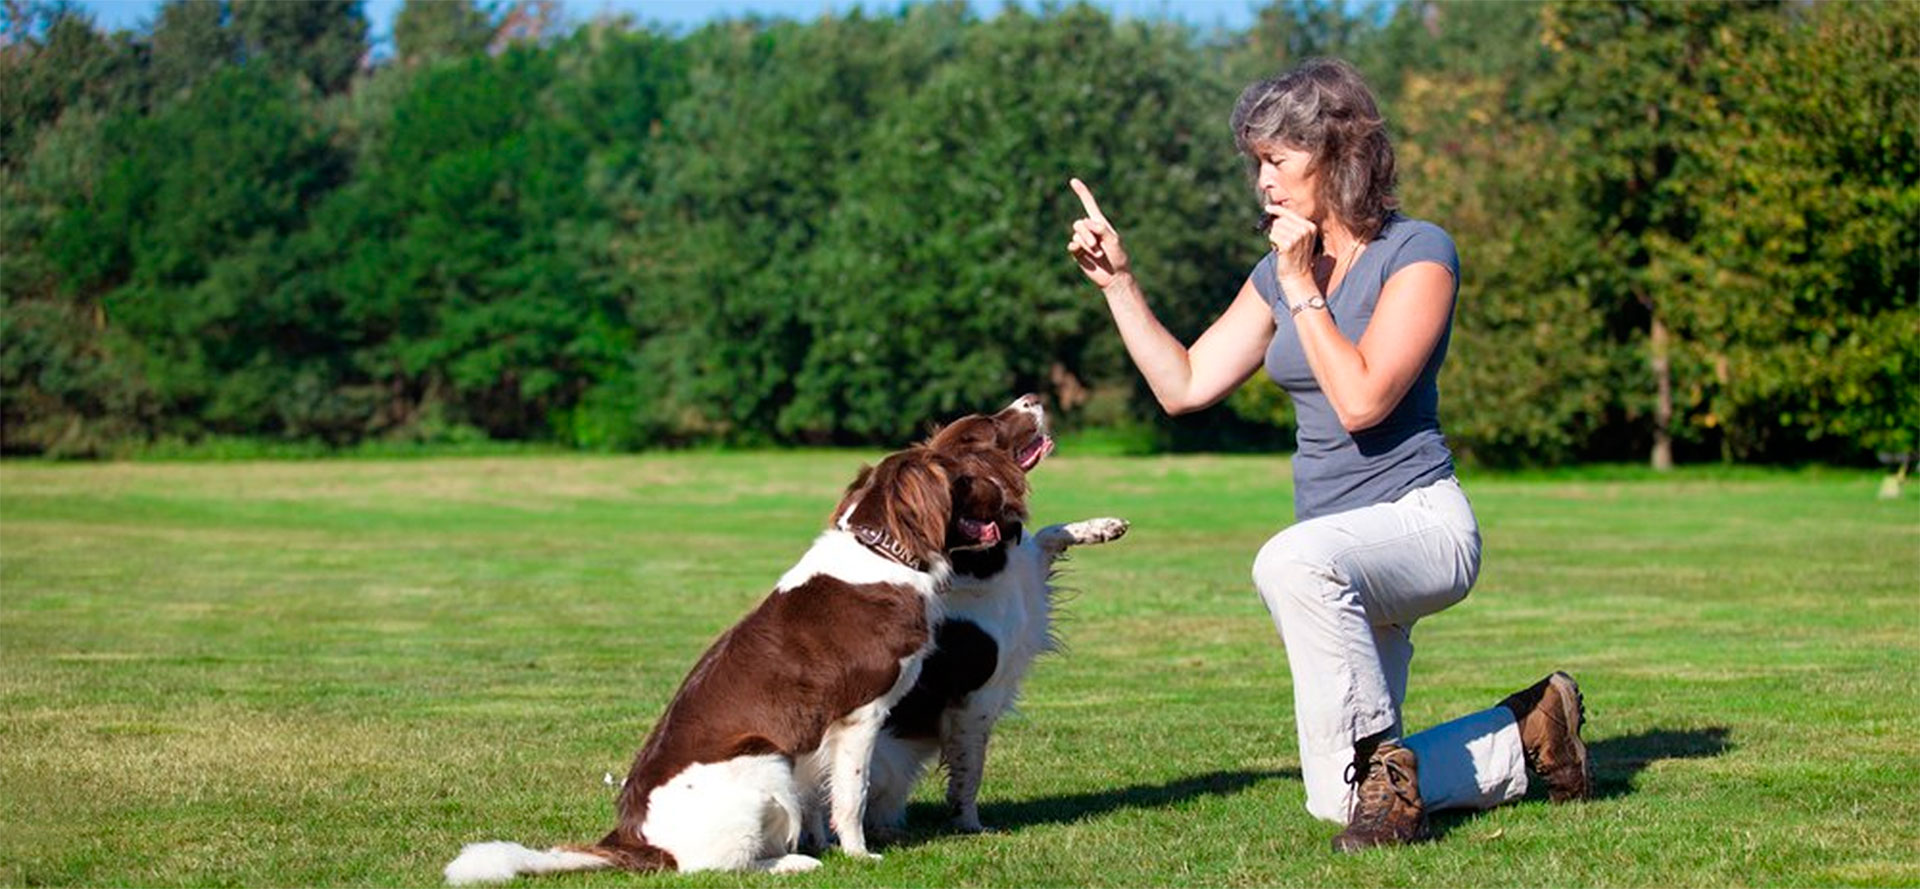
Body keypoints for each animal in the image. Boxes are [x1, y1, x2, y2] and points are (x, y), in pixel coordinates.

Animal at [441, 441, 1029, 879]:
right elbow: (851, 794)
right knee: (713, 867)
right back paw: (794, 863)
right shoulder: (861, 714)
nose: (1009, 494)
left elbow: (819, 794)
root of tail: (637, 840)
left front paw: (825, 842)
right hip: (763, 764)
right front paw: (859, 853)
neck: (882, 551)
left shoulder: (814, 733)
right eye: (964, 477)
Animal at [867, 399, 1121, 840]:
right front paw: (969, 824)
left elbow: (1049, 533)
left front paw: (1102, 527)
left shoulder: (1026, 579)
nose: (1032, 397)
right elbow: (971, 770)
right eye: (990, 423)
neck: (976, 557)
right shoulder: (976, 698)